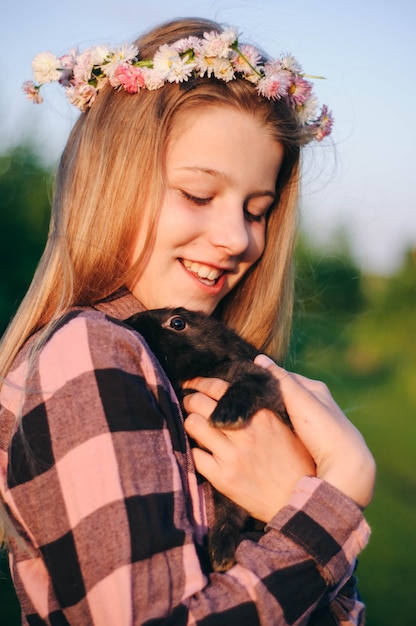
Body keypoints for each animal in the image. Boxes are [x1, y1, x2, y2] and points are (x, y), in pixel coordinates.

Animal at [125, 308, 290, 572]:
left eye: (177, 323)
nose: (131, 321)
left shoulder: (262, 381)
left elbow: (248, 385)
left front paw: (225, 417)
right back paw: (220, 554)